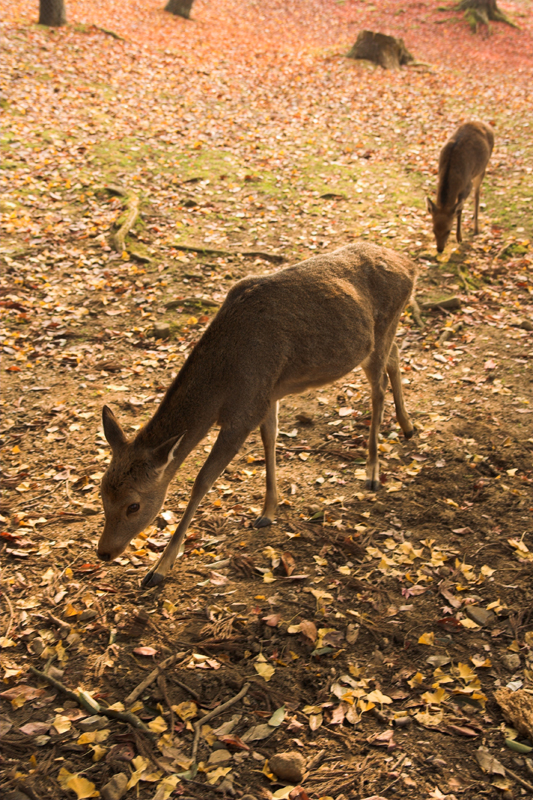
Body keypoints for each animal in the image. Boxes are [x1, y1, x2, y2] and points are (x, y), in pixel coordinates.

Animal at [98, 242, 417, 588]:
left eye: (133, 505)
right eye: (101, 492)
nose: (103, 552)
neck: (224, 380)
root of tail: (409, 264)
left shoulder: (244, 412)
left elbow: (202, 481)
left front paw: (159, 568)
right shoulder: (266, 396)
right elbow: (270, 440)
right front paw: (268, 511)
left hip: (382, 329)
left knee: (379, 388)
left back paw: (372, 471)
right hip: (383, 335)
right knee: (396, 355)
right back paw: (408, 427)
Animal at [427, 121, 494, 253]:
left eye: (448, 230)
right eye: (433, 230)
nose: (440, 249)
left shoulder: (467, 185)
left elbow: (459, 209)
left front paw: (459, 237)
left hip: (482, 168)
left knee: (477, 193)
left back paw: (476, 228)